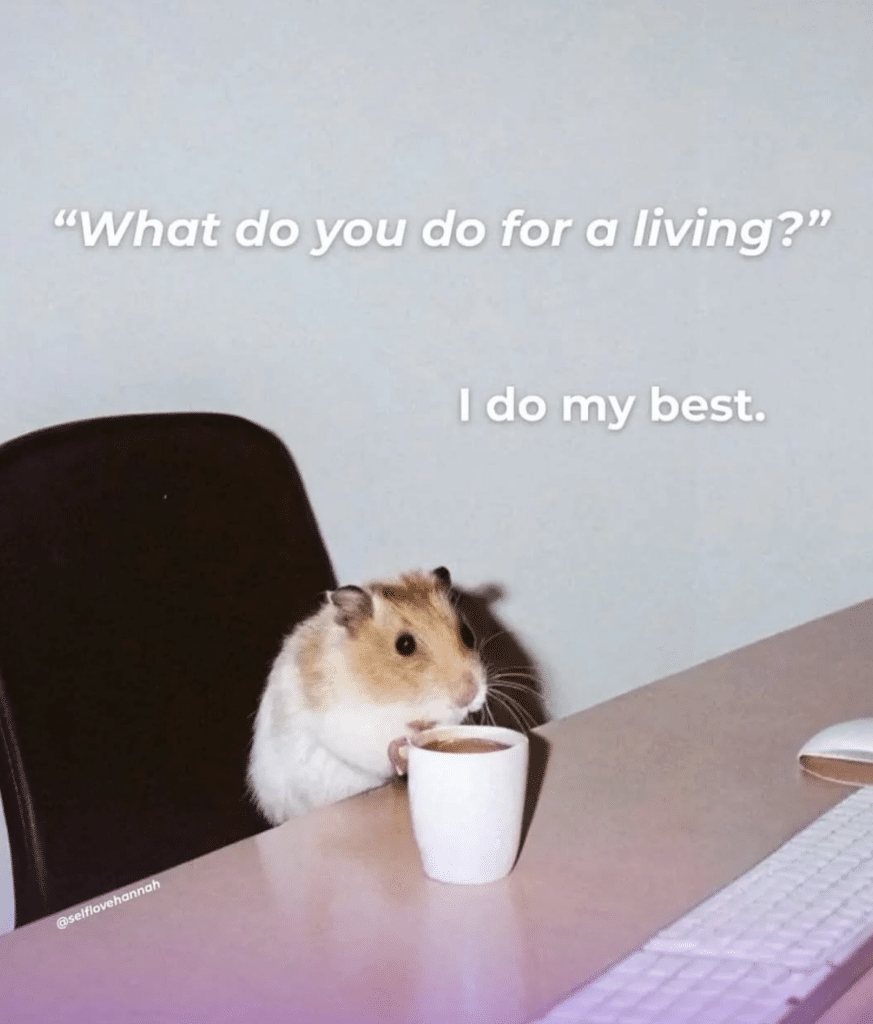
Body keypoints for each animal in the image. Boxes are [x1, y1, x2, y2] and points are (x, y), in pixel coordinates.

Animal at [247, 566, 488, 823]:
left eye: (467, 634)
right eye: (404, 645)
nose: (469, 696)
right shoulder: (349, 724)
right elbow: (387, 743)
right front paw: (408, 740)